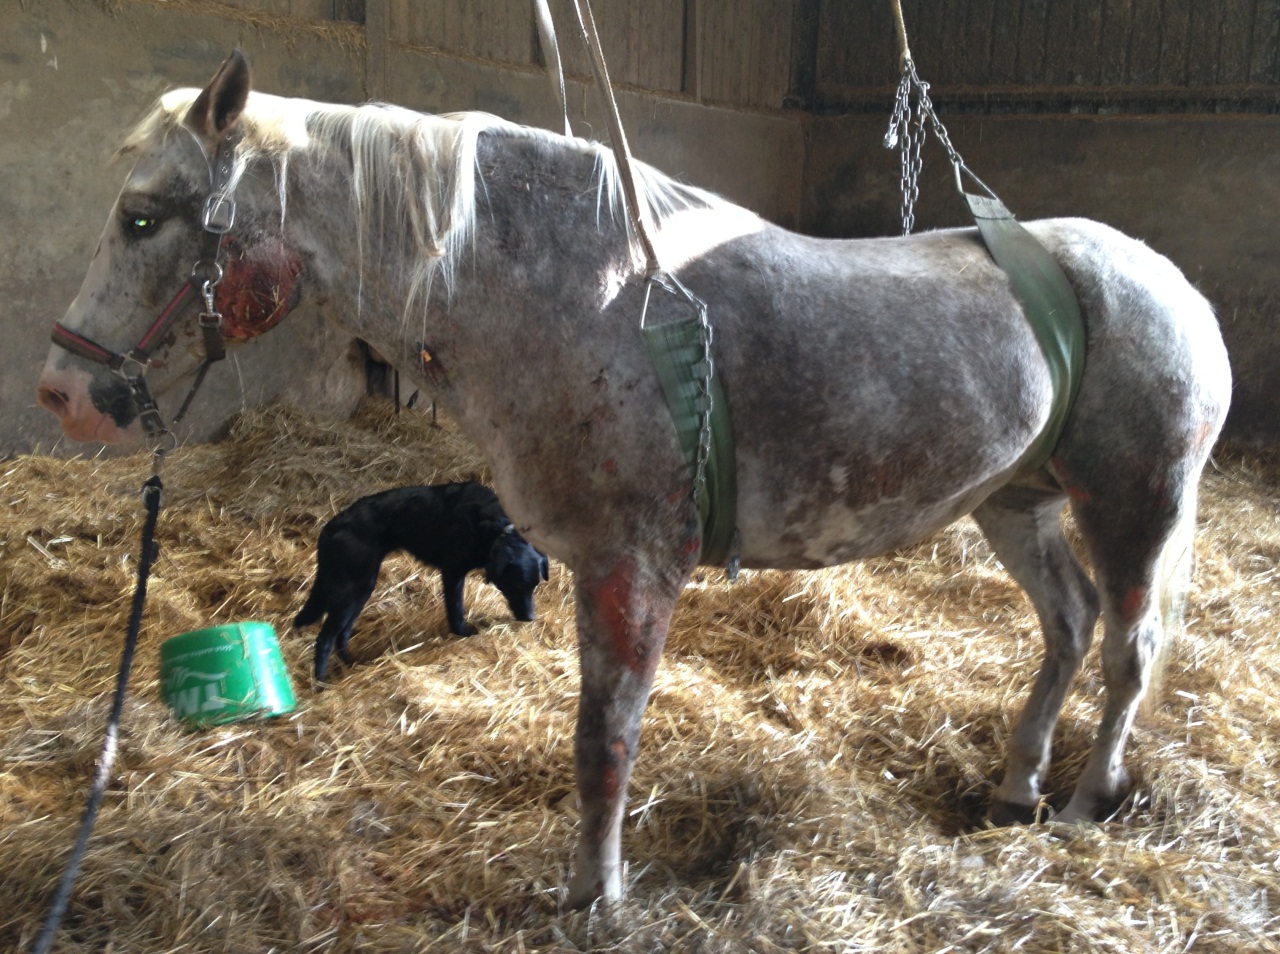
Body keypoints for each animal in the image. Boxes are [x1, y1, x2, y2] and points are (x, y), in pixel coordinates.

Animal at [35, 50, 1232, 908]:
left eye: (143, 214)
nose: (63, 392)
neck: (569, 297)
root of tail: (1173, 286)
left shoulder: (631, 568)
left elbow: (602, 743)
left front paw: (593, 894)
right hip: (1015, 503)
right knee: (1068, 627)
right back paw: (1016, 783)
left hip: (1132, 508)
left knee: (1127, 650)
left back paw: (1083, 802)